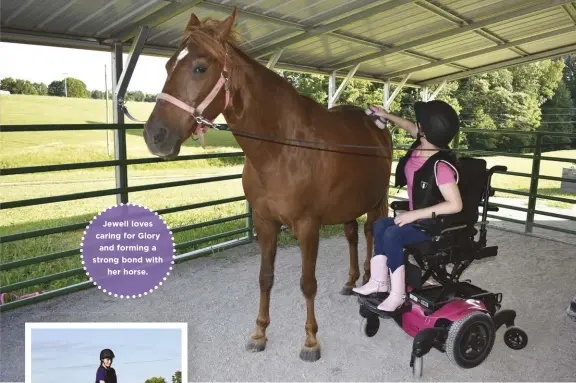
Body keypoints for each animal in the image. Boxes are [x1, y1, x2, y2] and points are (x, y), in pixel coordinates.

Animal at [142, 9, 394, 364]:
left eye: (199, 67)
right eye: (167, 66)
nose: (155, 135)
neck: (282, 148)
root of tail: (376, 125)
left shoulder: (307, 226)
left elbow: (307, 283)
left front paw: (310, 341)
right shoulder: (265, 223)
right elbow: (265, 278)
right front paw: (260, 333)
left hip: (376, 200)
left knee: (372, 232)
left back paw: (371, 281)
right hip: (349, 204)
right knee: (351, 235)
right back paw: (351, 281)